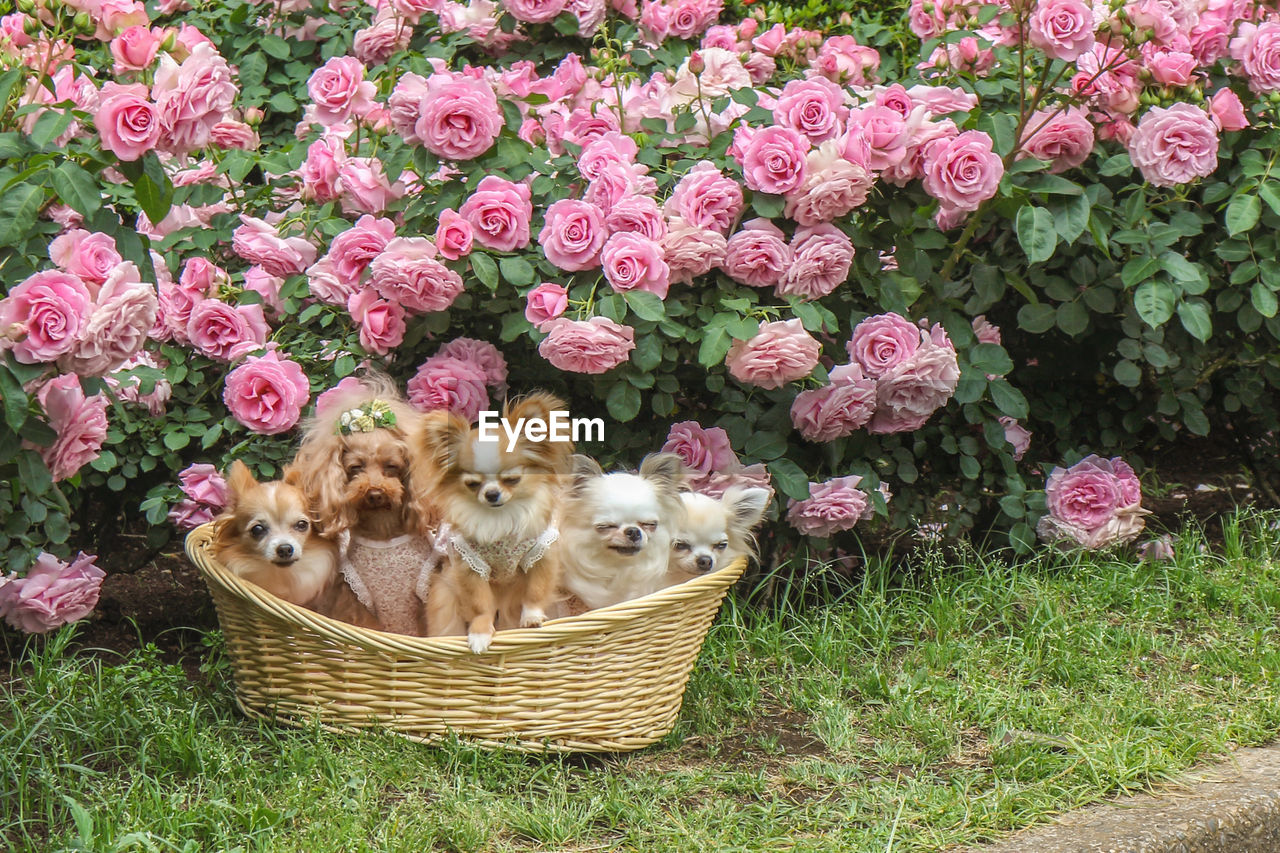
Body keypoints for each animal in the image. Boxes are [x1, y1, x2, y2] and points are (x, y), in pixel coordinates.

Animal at [286, 371, 435, 630]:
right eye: (355, 468)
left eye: (391, 466)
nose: (375, 493)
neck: (383, 529)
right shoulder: (357, 602)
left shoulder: (424, 598)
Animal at [422, 391, 573, 650]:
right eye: (472, 484)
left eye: (512, 479)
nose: (492, 494)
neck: (500, 518)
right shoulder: (471, 566)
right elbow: (480, 605)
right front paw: (480, 634)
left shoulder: (540, 555)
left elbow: (536, 591)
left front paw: (532, 617)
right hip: (445, 594)